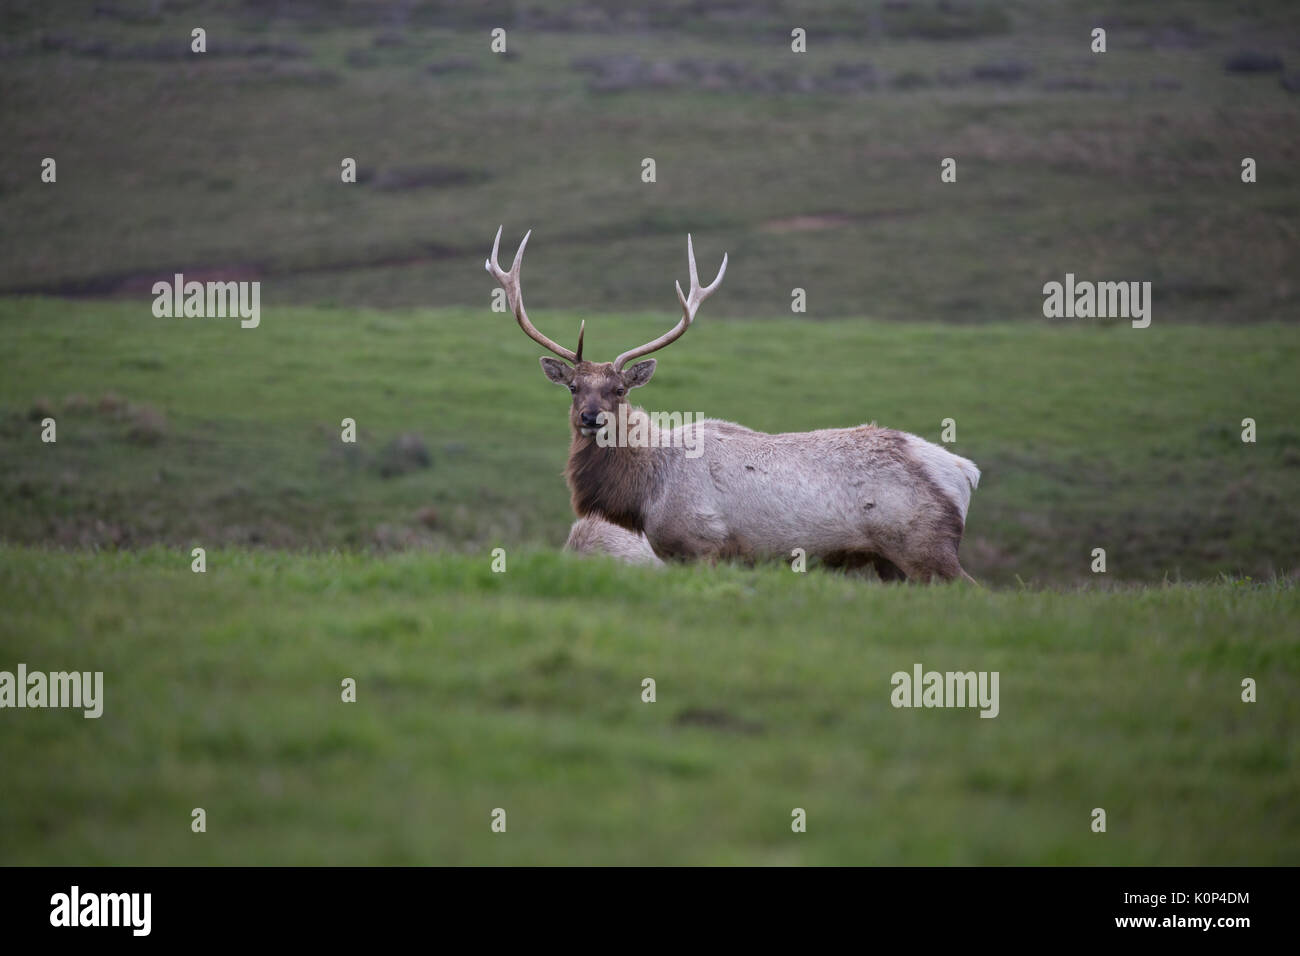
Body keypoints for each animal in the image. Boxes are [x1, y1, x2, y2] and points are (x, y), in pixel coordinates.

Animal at [491, 227, 977, 580]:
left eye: (620, 390)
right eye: (574, 387)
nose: (591, 418)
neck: (645, 493)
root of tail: (964, 471)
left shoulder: (702, 542)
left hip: (924, 545)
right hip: (888, 561)